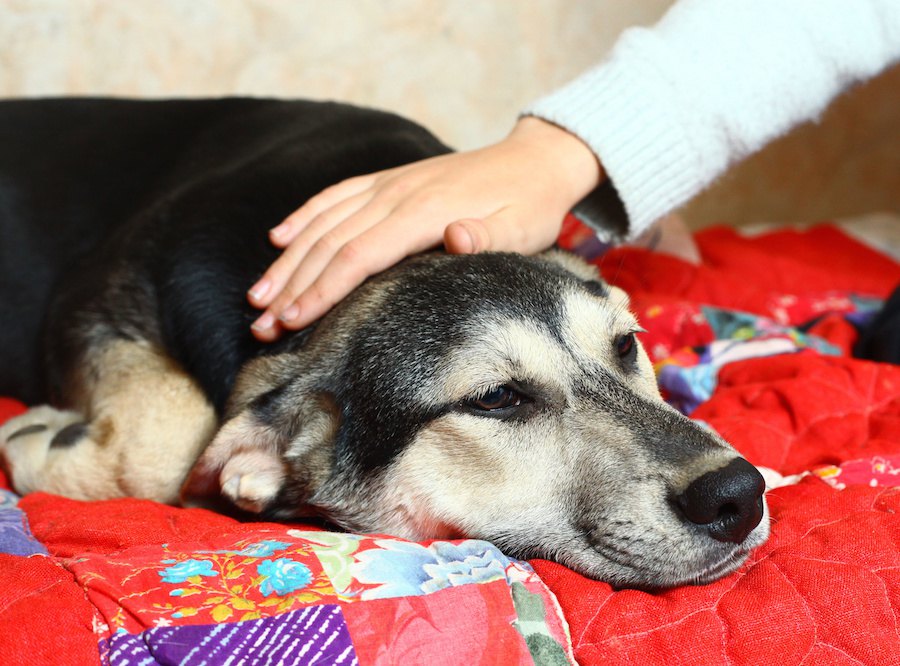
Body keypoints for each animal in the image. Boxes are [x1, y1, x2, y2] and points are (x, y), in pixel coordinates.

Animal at [0, 98, 768, 588]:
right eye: (497, 398)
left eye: (628, 346)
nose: (739, 494)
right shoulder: (89, 293)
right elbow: (158, 450)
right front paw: (31, 436)